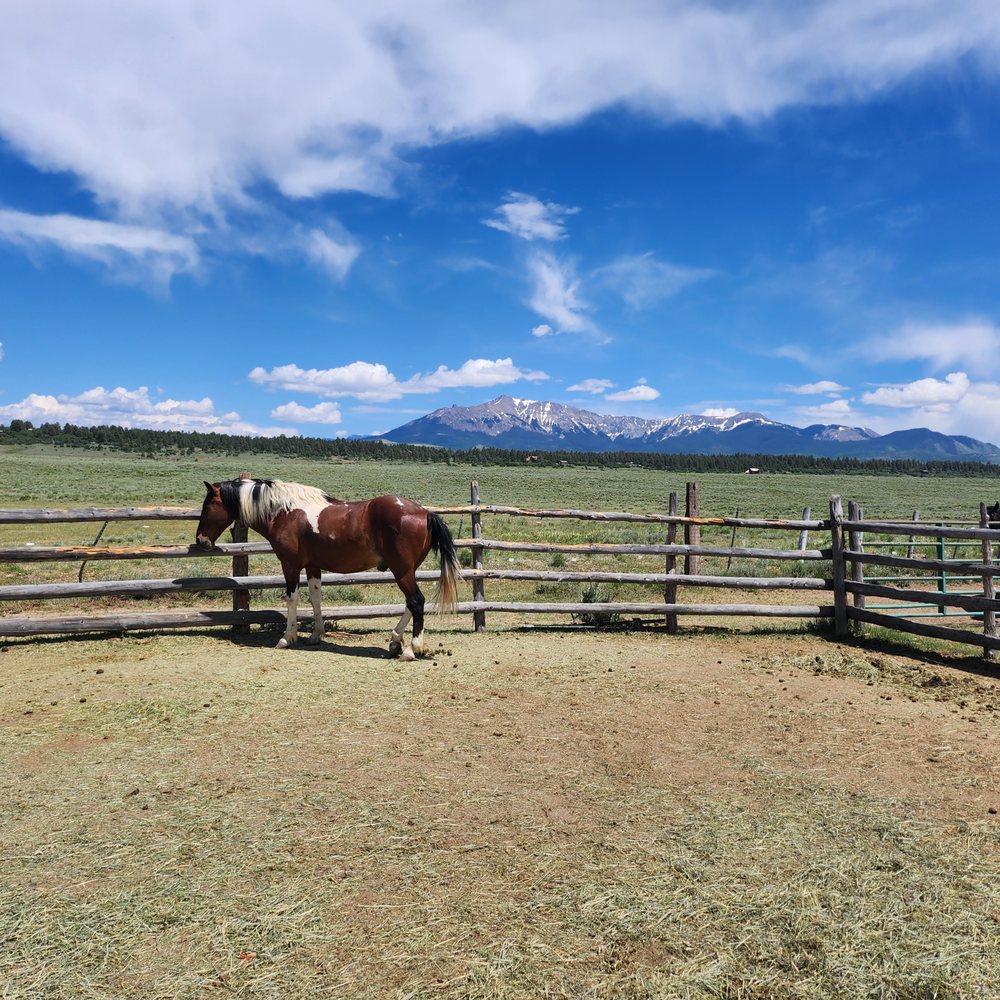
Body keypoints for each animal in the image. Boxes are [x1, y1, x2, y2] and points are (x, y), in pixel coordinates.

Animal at [194, 477, 462, 659]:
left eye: (207, 507)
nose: (201, 541)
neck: (285, 512)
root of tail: (424, 513)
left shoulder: (290, 565)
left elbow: (292, 599)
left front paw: (287, 638)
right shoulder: (313, 567)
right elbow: (315, 599)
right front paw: (316, 635)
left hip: (402, 571)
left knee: (416, 601)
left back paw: (411, 649)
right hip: (406, 571)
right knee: (410, 603)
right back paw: (395, 642)